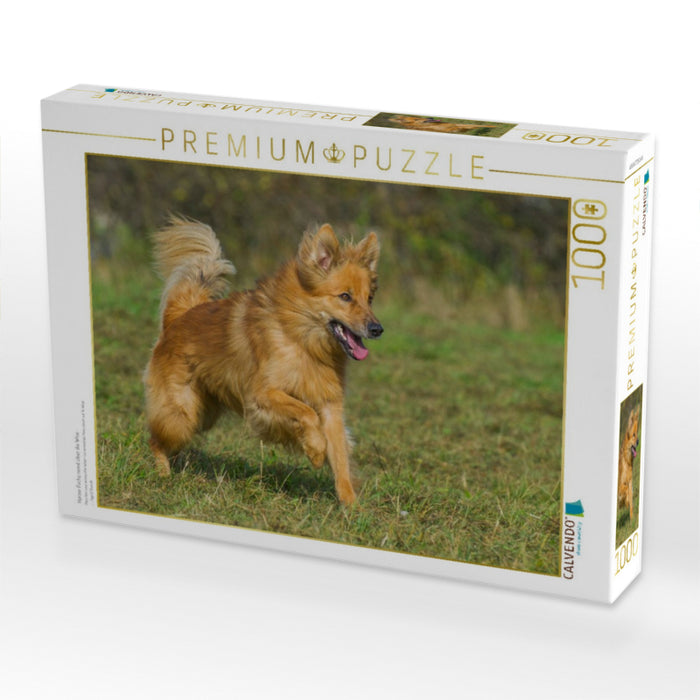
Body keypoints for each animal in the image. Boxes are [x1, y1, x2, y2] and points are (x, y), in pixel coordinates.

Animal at [143, 217, 383, 505]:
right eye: (345, 296)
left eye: (370, 298)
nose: (377, 329)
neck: (302, 339)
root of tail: (179, 316)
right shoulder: (262, 395)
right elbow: (306, 413)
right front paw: (315, 450)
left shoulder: (329, 404)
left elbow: (340, 457)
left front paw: (350, 505)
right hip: (182, 414)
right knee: (156, 439)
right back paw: (163, 474)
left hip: (203, 414)